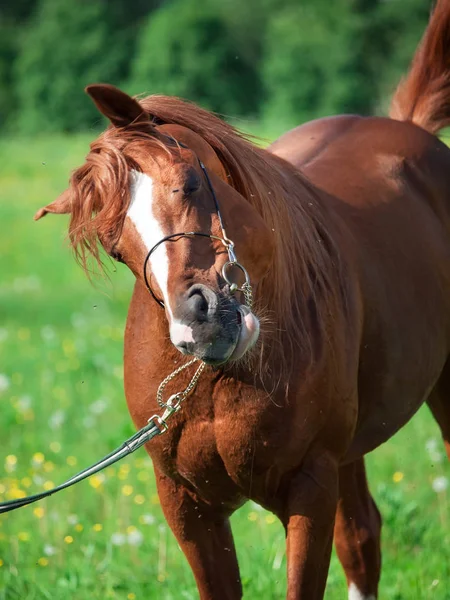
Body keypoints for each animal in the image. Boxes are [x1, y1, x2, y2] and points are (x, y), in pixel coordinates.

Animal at [33, 2, 450, 596]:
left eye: (188, 182)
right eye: (115, 246)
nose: (200, 326)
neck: (221, 381)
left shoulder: (309, 488)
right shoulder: (187, 506)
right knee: (362, 538)